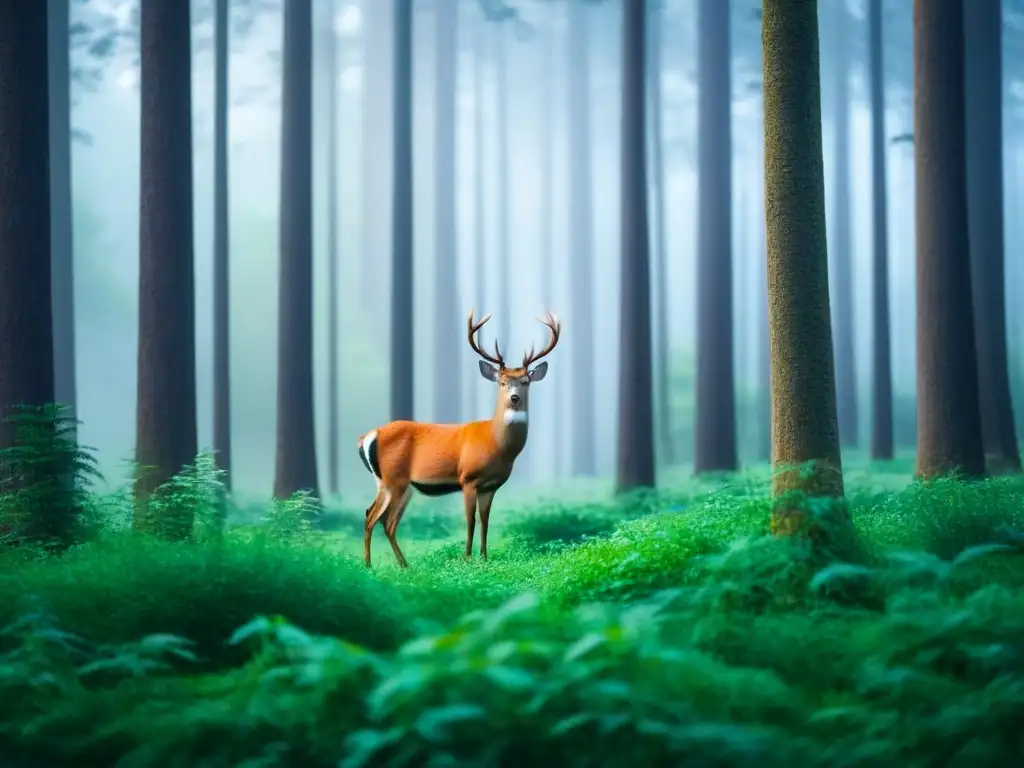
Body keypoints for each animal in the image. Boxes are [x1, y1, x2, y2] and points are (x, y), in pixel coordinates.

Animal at [352, 309, 561, 569]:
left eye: (526, 382)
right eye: (502, 382)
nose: (514, 398)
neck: (496, 444)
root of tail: (367, 436)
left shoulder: (491, 486)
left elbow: (485, 521)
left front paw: (484, 557)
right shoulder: (468, 478)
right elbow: (470, 520)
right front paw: (467, 558)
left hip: (400, 484)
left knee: (387, 522)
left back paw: (404, 565)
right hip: (392, 479)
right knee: (372, 516)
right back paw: (369, 565)